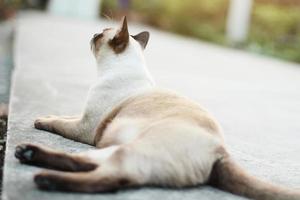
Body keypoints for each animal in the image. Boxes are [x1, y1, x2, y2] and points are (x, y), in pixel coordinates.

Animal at [14, 17, 300, 200]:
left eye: (99, 35)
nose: (91, 34)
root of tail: (221, 150)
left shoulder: (86, 127)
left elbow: (58, 122)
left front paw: (40, 120)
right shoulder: (85, 118)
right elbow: (62, 116)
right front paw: (45, 117)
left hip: (130, 151)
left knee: (112, 179)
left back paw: (45, 178)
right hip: (114, 148)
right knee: (90, 165)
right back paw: (28, 154)